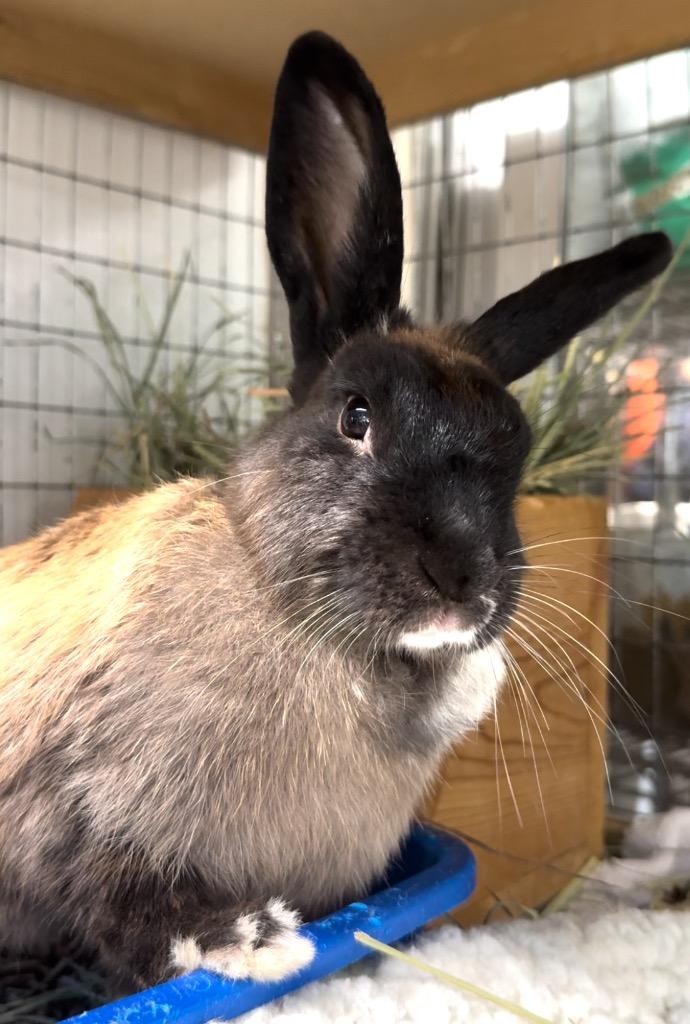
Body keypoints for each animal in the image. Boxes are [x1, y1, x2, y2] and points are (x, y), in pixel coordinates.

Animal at [0, 29, 672, 994]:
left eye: (517, 446)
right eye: (356, 417)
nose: (462, 583)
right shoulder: (83, 807)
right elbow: (121, 899)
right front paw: (254, 941)